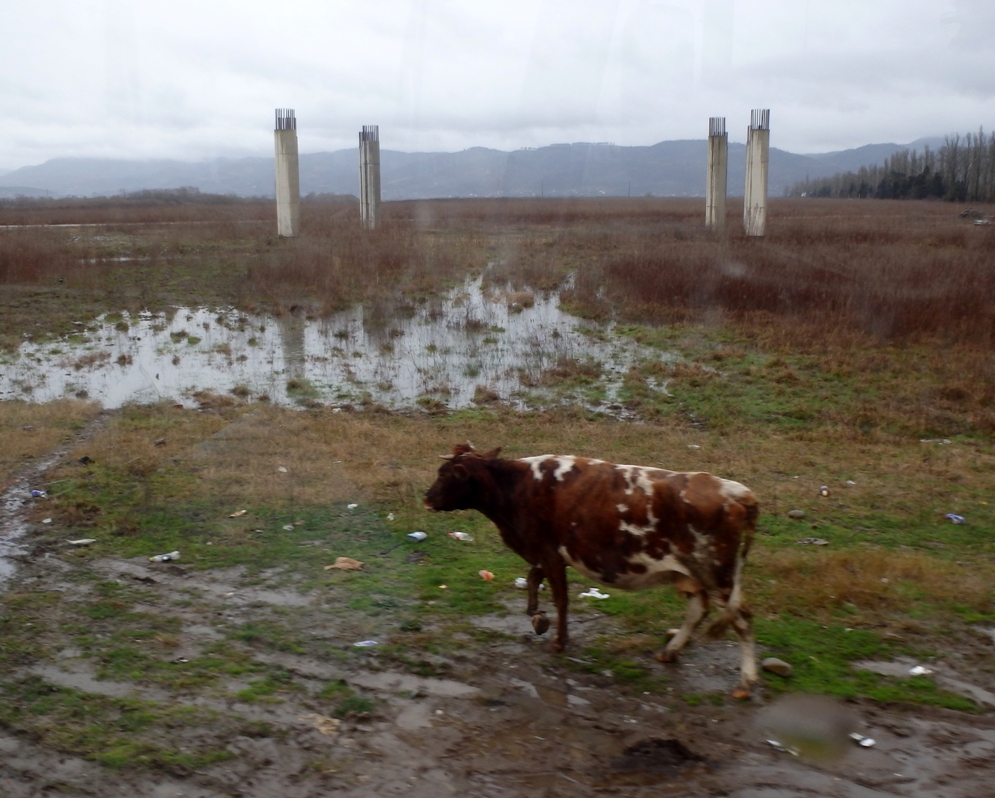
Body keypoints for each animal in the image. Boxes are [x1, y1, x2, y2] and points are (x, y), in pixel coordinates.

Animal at [424, 442, 760, 698]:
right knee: (698, 610)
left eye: (446, 475)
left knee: (741, 618)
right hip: (694, 575)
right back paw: (671, 652)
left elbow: (560, 597)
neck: (516, 487)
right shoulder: (546, 553)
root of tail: (736, 490)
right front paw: (537, 617)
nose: (427, 497)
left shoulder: (549, 552)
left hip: (717, 574)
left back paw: (745, 683)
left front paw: (558, 640)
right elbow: (533, 579)